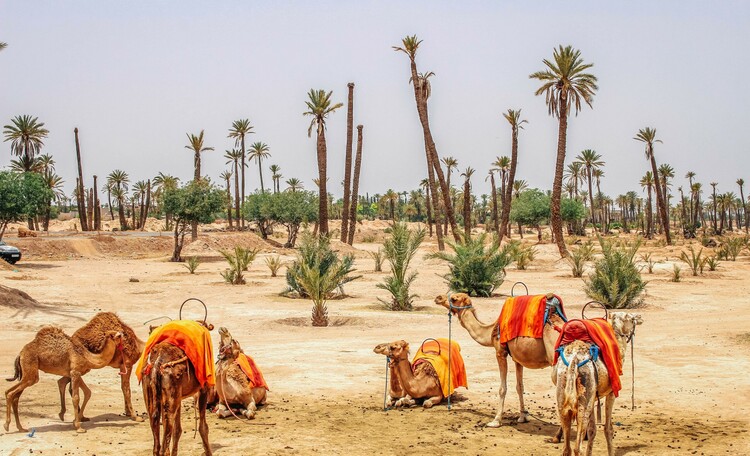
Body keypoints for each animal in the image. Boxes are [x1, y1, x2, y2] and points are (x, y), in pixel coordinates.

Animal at [434, 292, 564, 428]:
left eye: (454, 298)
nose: (438, 298)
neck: (491, 330)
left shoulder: (500, 353)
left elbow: (502, 388)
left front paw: (496, 420)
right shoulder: (517, 358)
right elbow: (520, 387)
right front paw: (522, 417)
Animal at [552, 312, 648, 454]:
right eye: (631, 317)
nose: (640, 317)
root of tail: (574, 358)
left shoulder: (593, 396)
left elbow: (592, 430)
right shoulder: (611, 392)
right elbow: (608, 428)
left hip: (563, 391)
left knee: (566, 448)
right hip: (584, 397)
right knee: (577, 447)